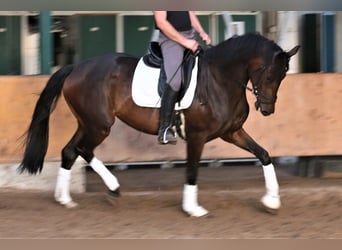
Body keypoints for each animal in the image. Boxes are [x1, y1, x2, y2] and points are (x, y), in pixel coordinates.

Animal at [19, 32, 300, 217]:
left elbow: (264, 154)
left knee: (70, 151)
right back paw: (112, 188)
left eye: (284, 75)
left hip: (87, 123)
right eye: (270, 74)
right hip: (99, 125)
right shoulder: (197, 136)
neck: (220, 79)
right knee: (82, 150)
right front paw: (192, 208)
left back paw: (65, 199)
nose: (267, 109)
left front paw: (272, 201)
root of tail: (76, 67)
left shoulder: (232, 132)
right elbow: (192, 170)